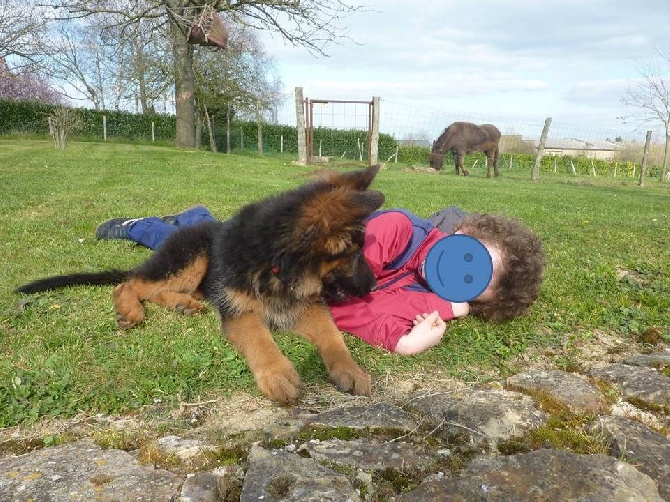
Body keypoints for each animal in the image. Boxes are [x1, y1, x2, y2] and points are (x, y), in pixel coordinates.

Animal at [15, 165, 386, 404]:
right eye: (354, 254)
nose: (373, 288)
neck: (276, 266)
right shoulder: (239, 311)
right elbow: (260, 337)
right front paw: (277, 372)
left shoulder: (306, 307)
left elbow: (332, 334)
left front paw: (349, 368)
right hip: (192, 259)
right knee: (130, 284)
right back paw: (130, 310)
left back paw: (183, 305)